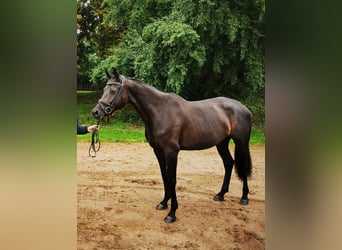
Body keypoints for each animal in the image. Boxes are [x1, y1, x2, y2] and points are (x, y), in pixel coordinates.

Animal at [92, 68, 252, 223]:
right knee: (228, 163)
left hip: (241, 143)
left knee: (243, 165)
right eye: (104, 89)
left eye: (113, 90)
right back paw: (221, 194)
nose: (96, 112)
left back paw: (244, 197)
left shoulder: (171, 152)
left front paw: (172, 213)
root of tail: (243, 107)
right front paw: (164, 203)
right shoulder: (158, 151)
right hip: (222, 143)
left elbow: (173, 179)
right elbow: (165, 176)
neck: (160, 111)